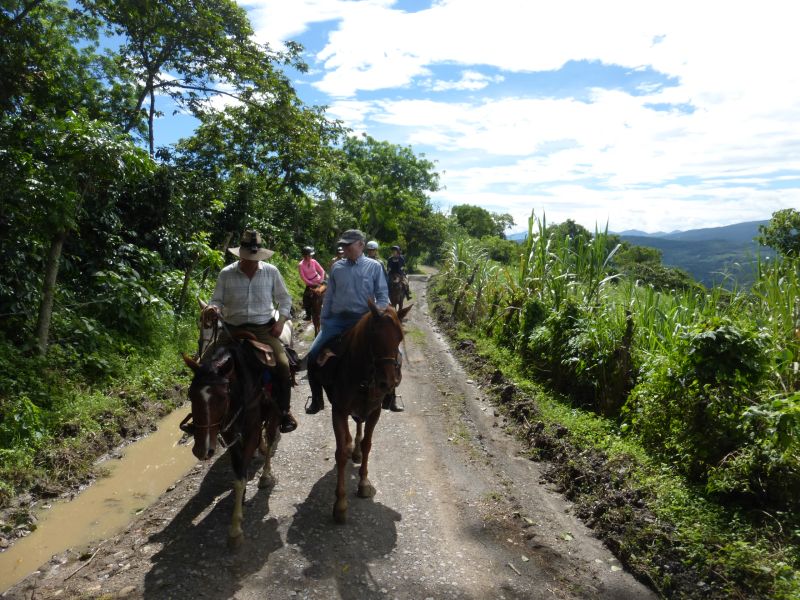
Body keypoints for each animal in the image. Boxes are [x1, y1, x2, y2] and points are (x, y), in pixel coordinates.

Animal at [312, 298, 412, 520]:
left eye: (400, 337)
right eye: (374, 337)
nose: (387, 383)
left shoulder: (375, 411)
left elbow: (367, 444)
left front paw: (364, 483)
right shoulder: (338, 410)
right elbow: (341, 452)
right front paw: (340, 503)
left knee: (359, 424)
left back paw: (356, 451)